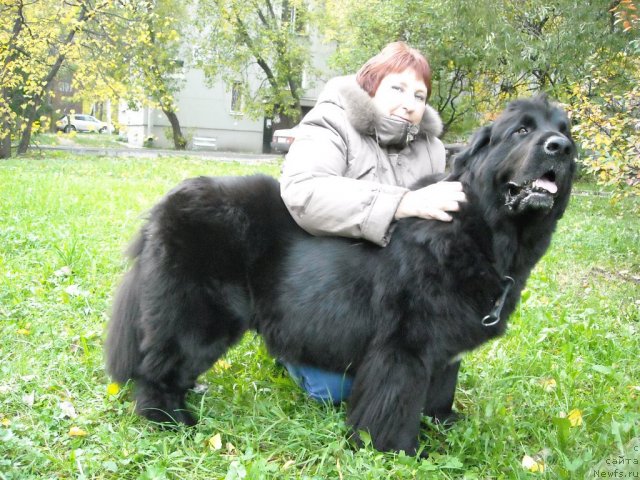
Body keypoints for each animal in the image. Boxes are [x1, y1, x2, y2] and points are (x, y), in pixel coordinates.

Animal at [105, 95, 576, 456]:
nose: (561, 148)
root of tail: (165, 205)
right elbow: (396, 404)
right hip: (199, 318)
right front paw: (400, 450)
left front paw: (444, 426)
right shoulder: (403, 347)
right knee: (157, 367)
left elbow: (441, 391)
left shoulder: (443, 350)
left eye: (565, 130)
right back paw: (171, 418)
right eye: (521, 131)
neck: (480, 232)